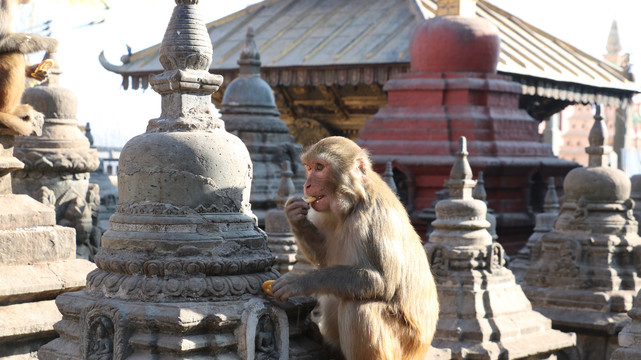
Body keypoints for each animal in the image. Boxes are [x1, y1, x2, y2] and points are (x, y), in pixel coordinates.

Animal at [272, 137, 438, 360]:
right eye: (308, 168)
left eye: (320, 167)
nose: (307, 185)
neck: (352, 203)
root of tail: (422, 348)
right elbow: (325, 257)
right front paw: (294, 216)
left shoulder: (375, 216)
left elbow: (383, 282)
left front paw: (298, 282)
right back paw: (328, 346)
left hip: (406, 341)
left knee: (358, 306)